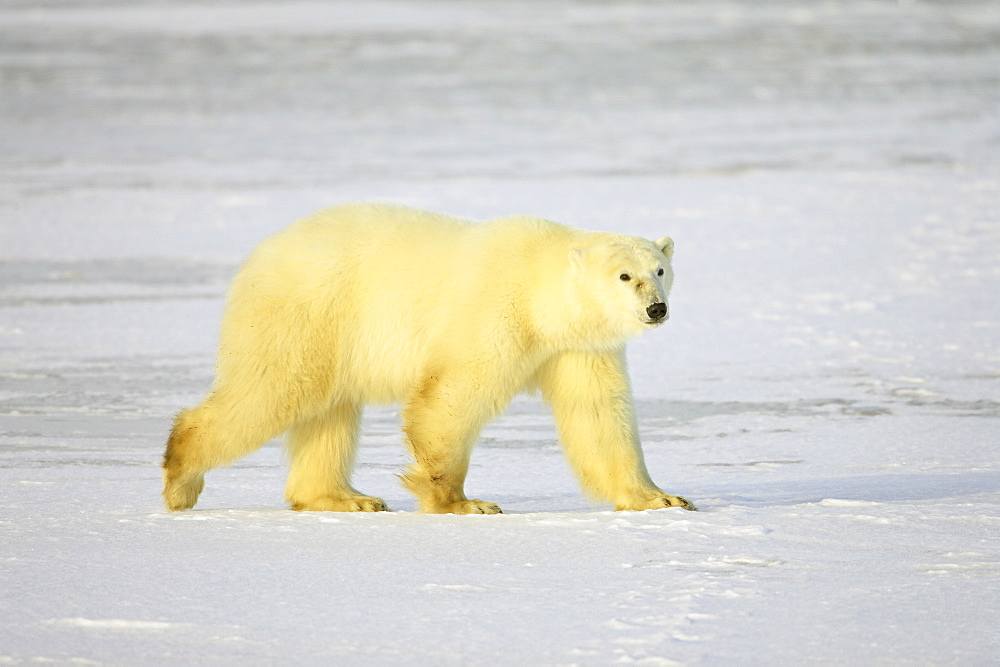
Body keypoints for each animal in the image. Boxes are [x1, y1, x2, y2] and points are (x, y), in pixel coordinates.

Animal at [164, 204, 696, 516]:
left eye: (659, 269)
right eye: (624, 276)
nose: (657, 309)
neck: (539, 293)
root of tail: (260, 254)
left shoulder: (577, 346)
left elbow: (600, 417)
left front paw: (662, 497)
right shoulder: (493, 310)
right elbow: (452, 396)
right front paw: (462, 502)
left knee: (329, 413)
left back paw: (346, 498)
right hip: (306, 313)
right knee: (272, 391)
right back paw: (181, 480)